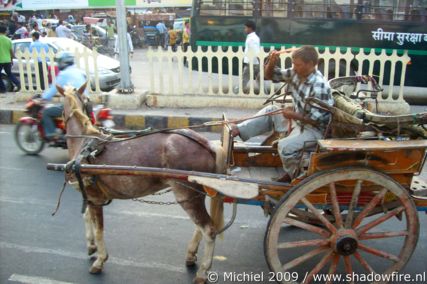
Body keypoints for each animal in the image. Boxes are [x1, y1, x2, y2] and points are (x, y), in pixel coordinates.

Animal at [58, 82, 226, 284]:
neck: (85, 145)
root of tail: (207, 144)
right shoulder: (89, 197)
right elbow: (86, 217)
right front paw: (91, 246)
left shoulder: (94, 198)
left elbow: (99, 229)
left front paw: (100, 260)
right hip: (196, 195)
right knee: (201, 227)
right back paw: (191, 255)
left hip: (187, 195)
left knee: (208, 229)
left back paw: (202, 272)